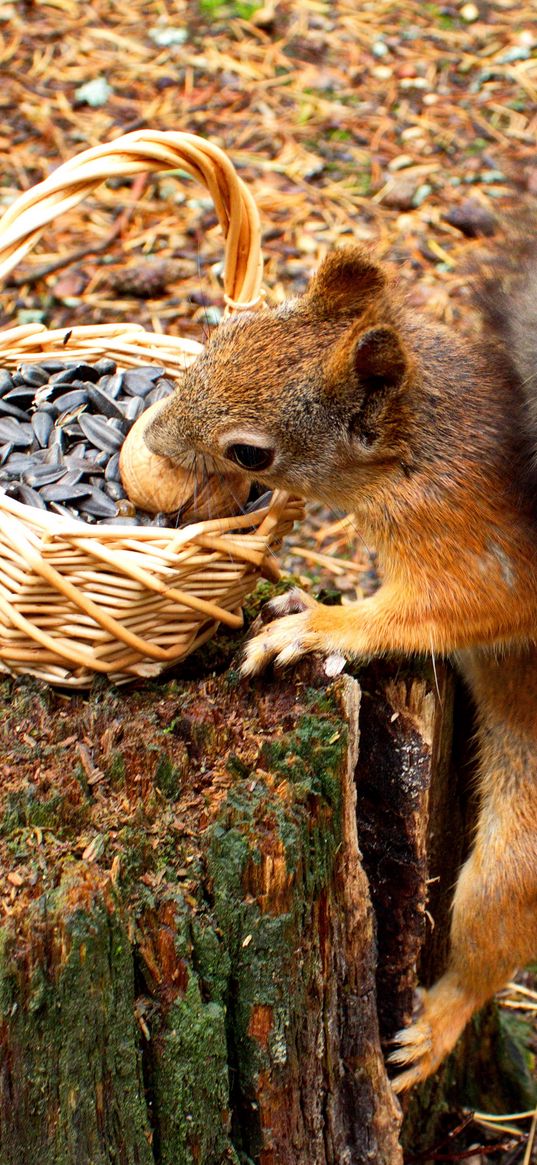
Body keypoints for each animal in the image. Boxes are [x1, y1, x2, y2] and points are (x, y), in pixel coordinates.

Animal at [144, 245, 535, 1090]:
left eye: (250, 452)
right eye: (223, 337)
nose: (150, 438)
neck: (414, 447)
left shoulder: (477, 548)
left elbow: (436, 610)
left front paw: (311, 626)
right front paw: (296, 598)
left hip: (512, 862)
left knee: (491, 933)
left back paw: (431, 1029)